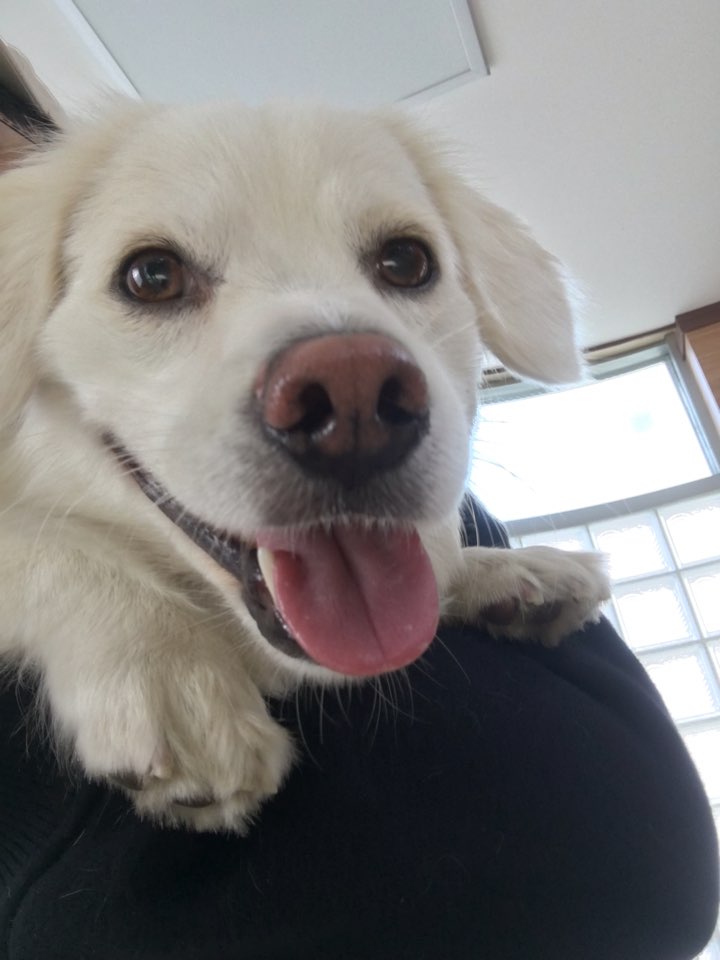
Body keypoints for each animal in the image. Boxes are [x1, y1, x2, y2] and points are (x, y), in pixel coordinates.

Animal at [0, 101, 609, 831]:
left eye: (406, 260)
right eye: (152, 275)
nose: (354, 398)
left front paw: (510, 571)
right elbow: (49, 547)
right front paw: (172, 674)